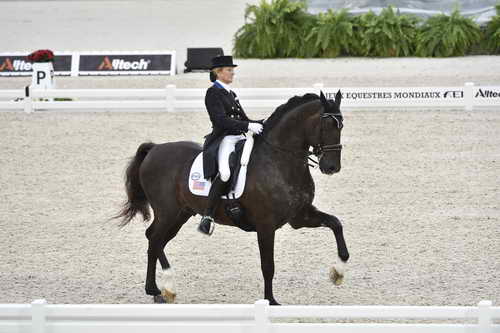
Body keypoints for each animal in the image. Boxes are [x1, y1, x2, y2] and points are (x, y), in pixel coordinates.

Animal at [114, 90, 350, 304]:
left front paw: (338, 272)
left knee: (155, 240)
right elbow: (268, 266)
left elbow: (336, 224)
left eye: (341, 126)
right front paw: (270, 301)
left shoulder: (299, 217)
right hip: (168, 212)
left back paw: (156, 290)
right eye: (326, 125)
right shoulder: (266, 225)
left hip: (180, 214)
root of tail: (154, 149)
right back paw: (166, 288)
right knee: (155, 239)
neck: (279, 160)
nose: (332, 167)